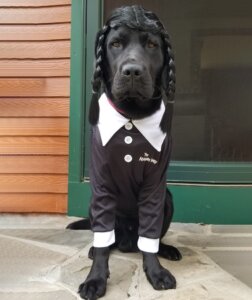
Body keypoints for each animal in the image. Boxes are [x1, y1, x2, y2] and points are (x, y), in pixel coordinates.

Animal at [68, 5, 182, 300]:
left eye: (152, 45)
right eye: (115, 44)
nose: (132, 71)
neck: (132, 116)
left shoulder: (155, 187)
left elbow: (150, 237)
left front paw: (156, 273)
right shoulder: (103, 184)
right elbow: (102, 243)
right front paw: (95, 279)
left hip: (168, 199)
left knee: (150, 239)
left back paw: (167, 250)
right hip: (93, 203)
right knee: (106, 240)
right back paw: (94, 248)